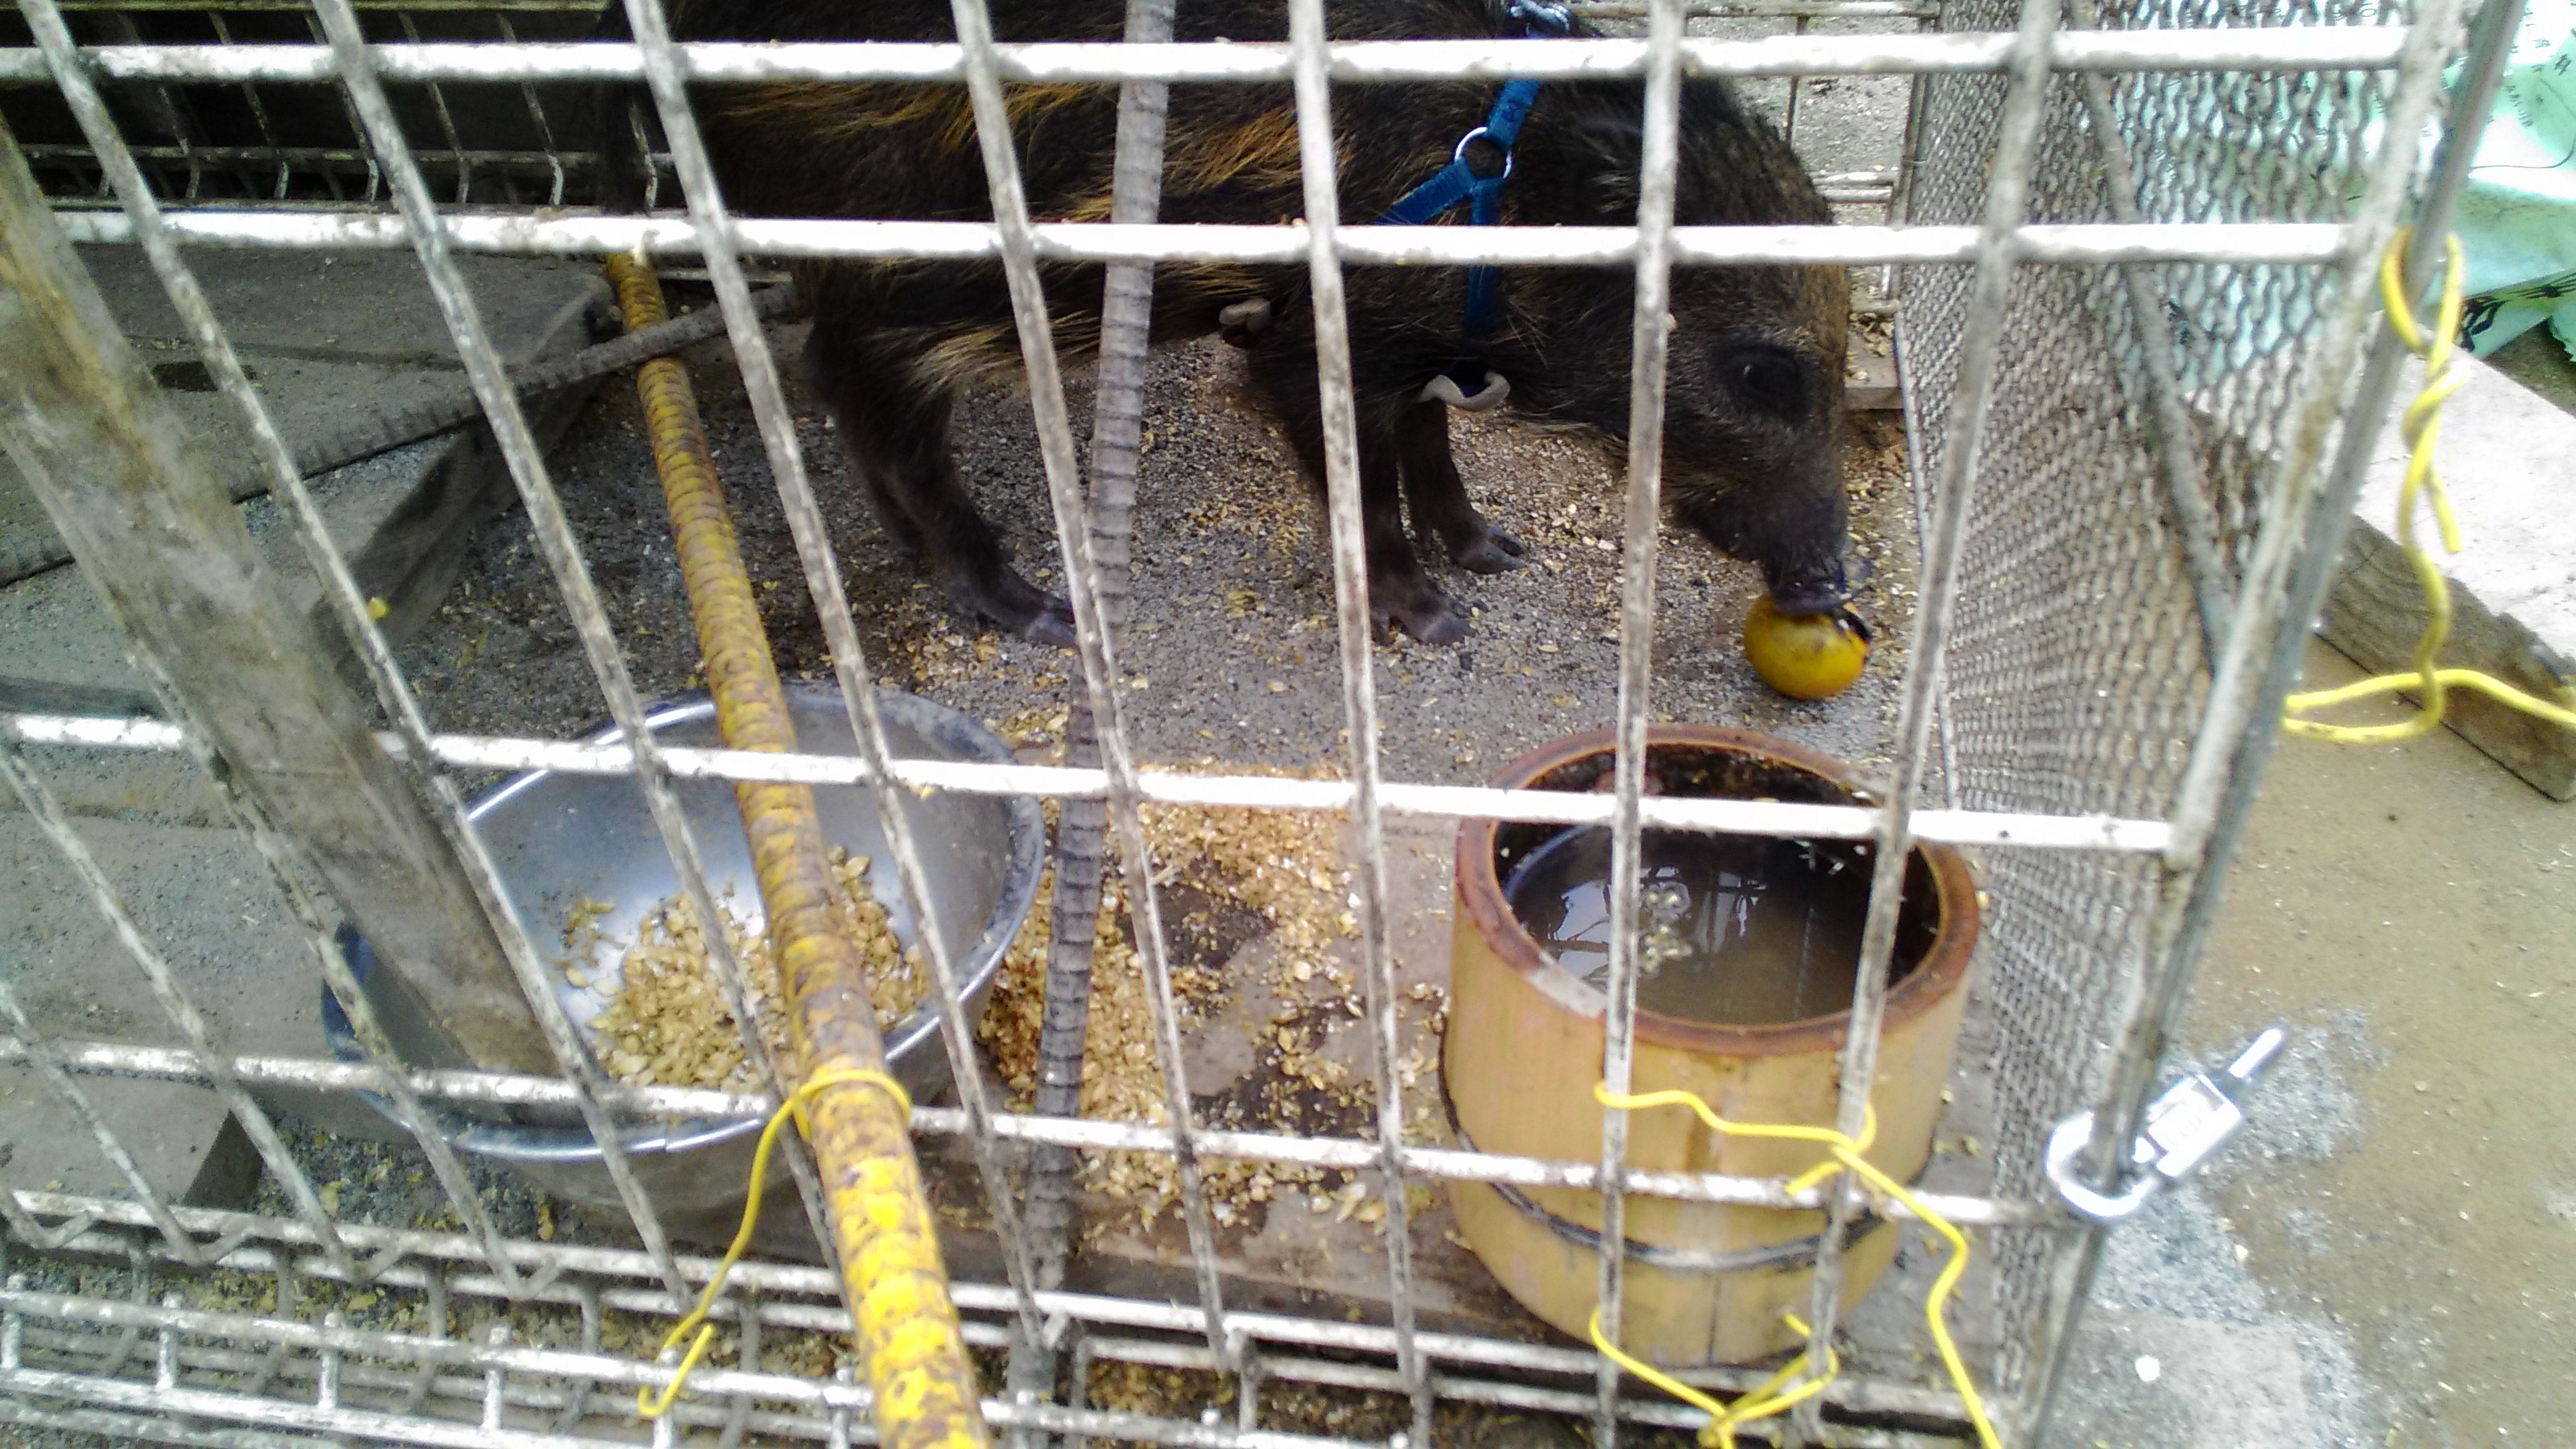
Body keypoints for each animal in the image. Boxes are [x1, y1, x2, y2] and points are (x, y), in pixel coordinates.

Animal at [600, 0, 1850, 647]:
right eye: (1761, 374)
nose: (1832, 590)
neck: (1495, 187)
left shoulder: (1405, 343)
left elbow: (1429, 443)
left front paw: (1496, 555)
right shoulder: (1305, 346)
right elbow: (1365, 483)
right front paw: (1430, 621)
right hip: (897, 276)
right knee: (869, 401)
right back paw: (1032, 612)